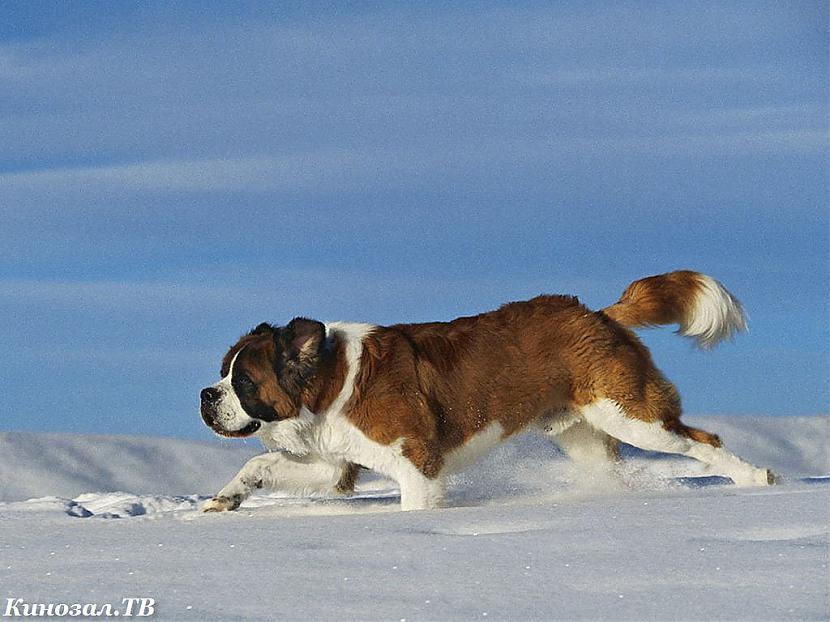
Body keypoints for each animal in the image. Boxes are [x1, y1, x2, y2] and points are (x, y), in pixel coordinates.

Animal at [198, 270, 776, 516]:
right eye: (223, 373)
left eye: (242, 382)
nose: (205, 395)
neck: (331, 382)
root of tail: (595, 313)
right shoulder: (336, 464)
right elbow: (260, 465)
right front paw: (227, 498)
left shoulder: (417, 463)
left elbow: (415, 504)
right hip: (582, 434)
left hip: (630, 414)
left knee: (702, 440)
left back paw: (758, 480)